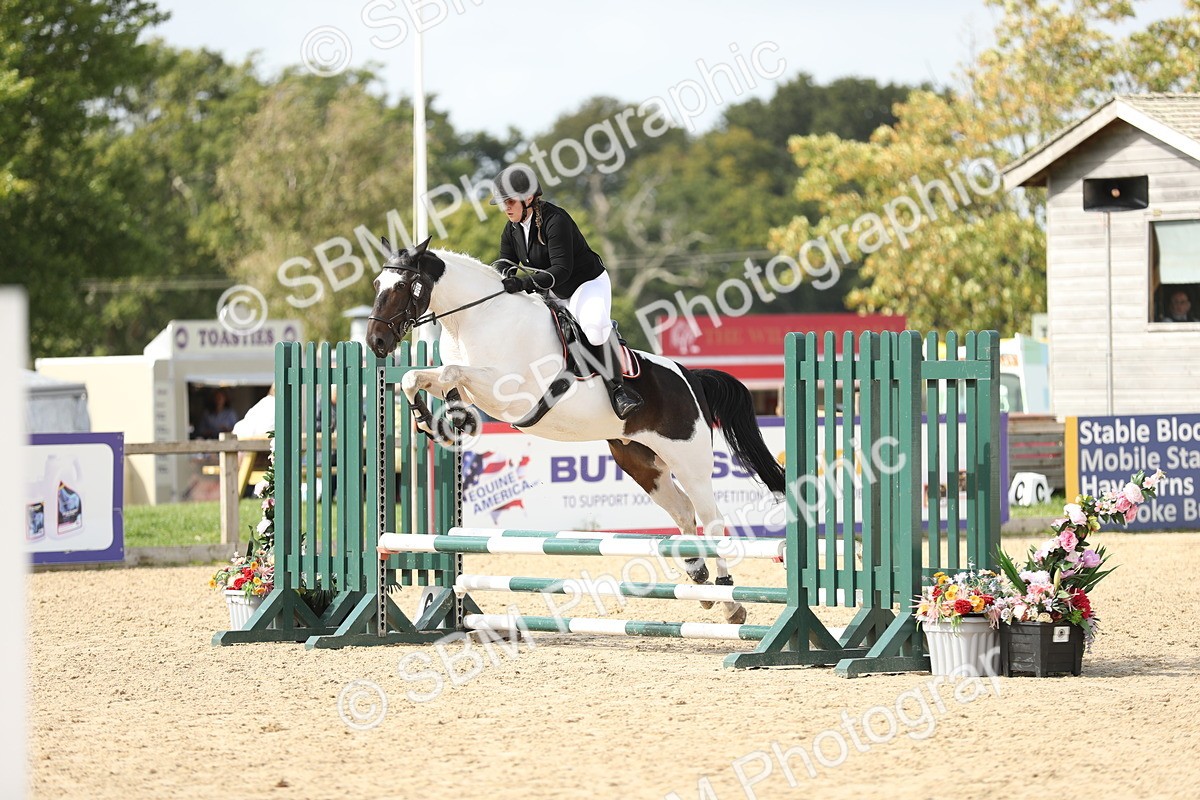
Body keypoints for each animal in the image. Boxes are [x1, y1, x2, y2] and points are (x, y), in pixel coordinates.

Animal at [366, 237, 786, 624]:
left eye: (401, 286)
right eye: (376, 283)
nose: (376, 342)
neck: (478, 317)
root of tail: (690, 377)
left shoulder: (505, 389)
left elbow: (452, 374)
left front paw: (450, 419)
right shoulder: (469, 383)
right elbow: (420, 379)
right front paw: (434, 419)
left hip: (690, 461)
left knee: (711, 519)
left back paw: (729, 600)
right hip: (641, 463)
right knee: (683, 511)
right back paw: (698, 578)